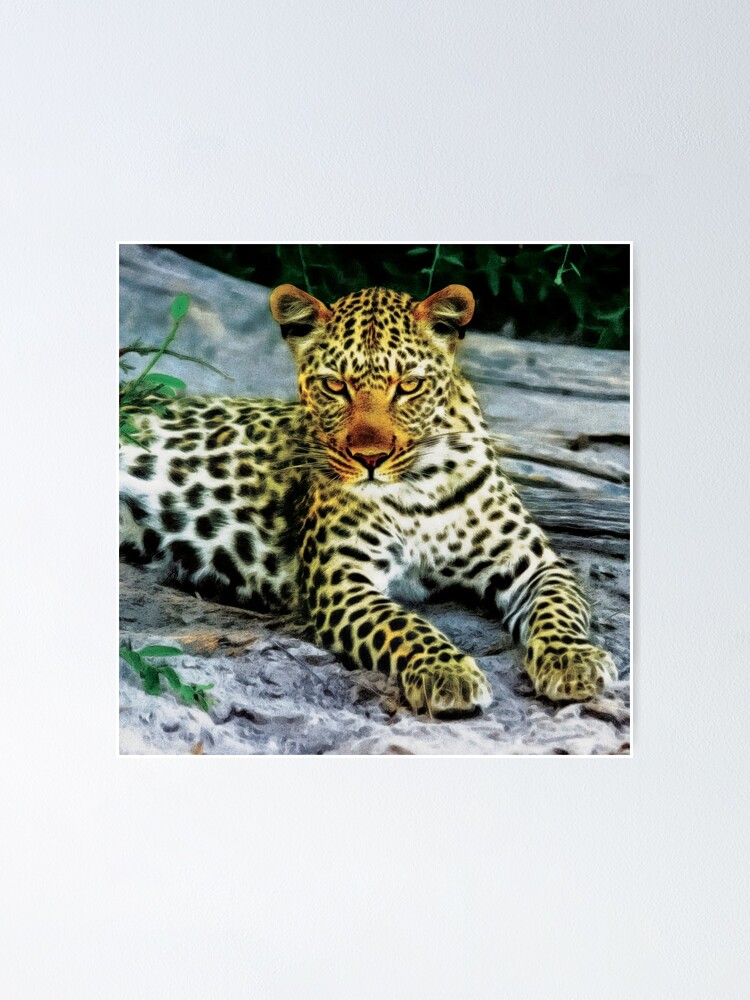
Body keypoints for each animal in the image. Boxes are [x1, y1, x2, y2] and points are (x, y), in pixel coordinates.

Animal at [120, 282, 617, 716]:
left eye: (409, 386)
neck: (421, 485)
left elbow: (558, 608)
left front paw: (575, 661)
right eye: (335, 386)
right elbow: (404, 625)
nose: (370, 458)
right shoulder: (342, 582)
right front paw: (447, 672)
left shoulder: (534, 563)